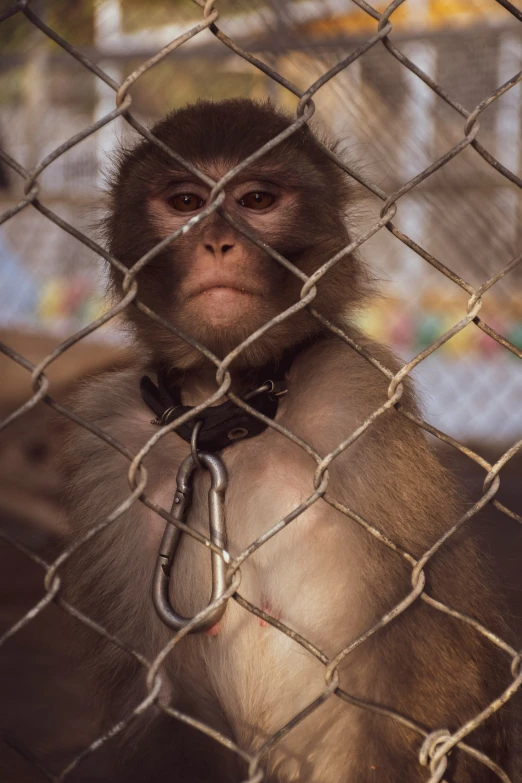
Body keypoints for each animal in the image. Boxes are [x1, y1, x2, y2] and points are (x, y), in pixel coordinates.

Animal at [60, 99, 516, 783]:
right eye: (186, 201)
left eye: (256, 200)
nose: (217, 241)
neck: (232, 411)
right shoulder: (111, 443)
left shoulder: (356, 398)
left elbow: (439, 662)